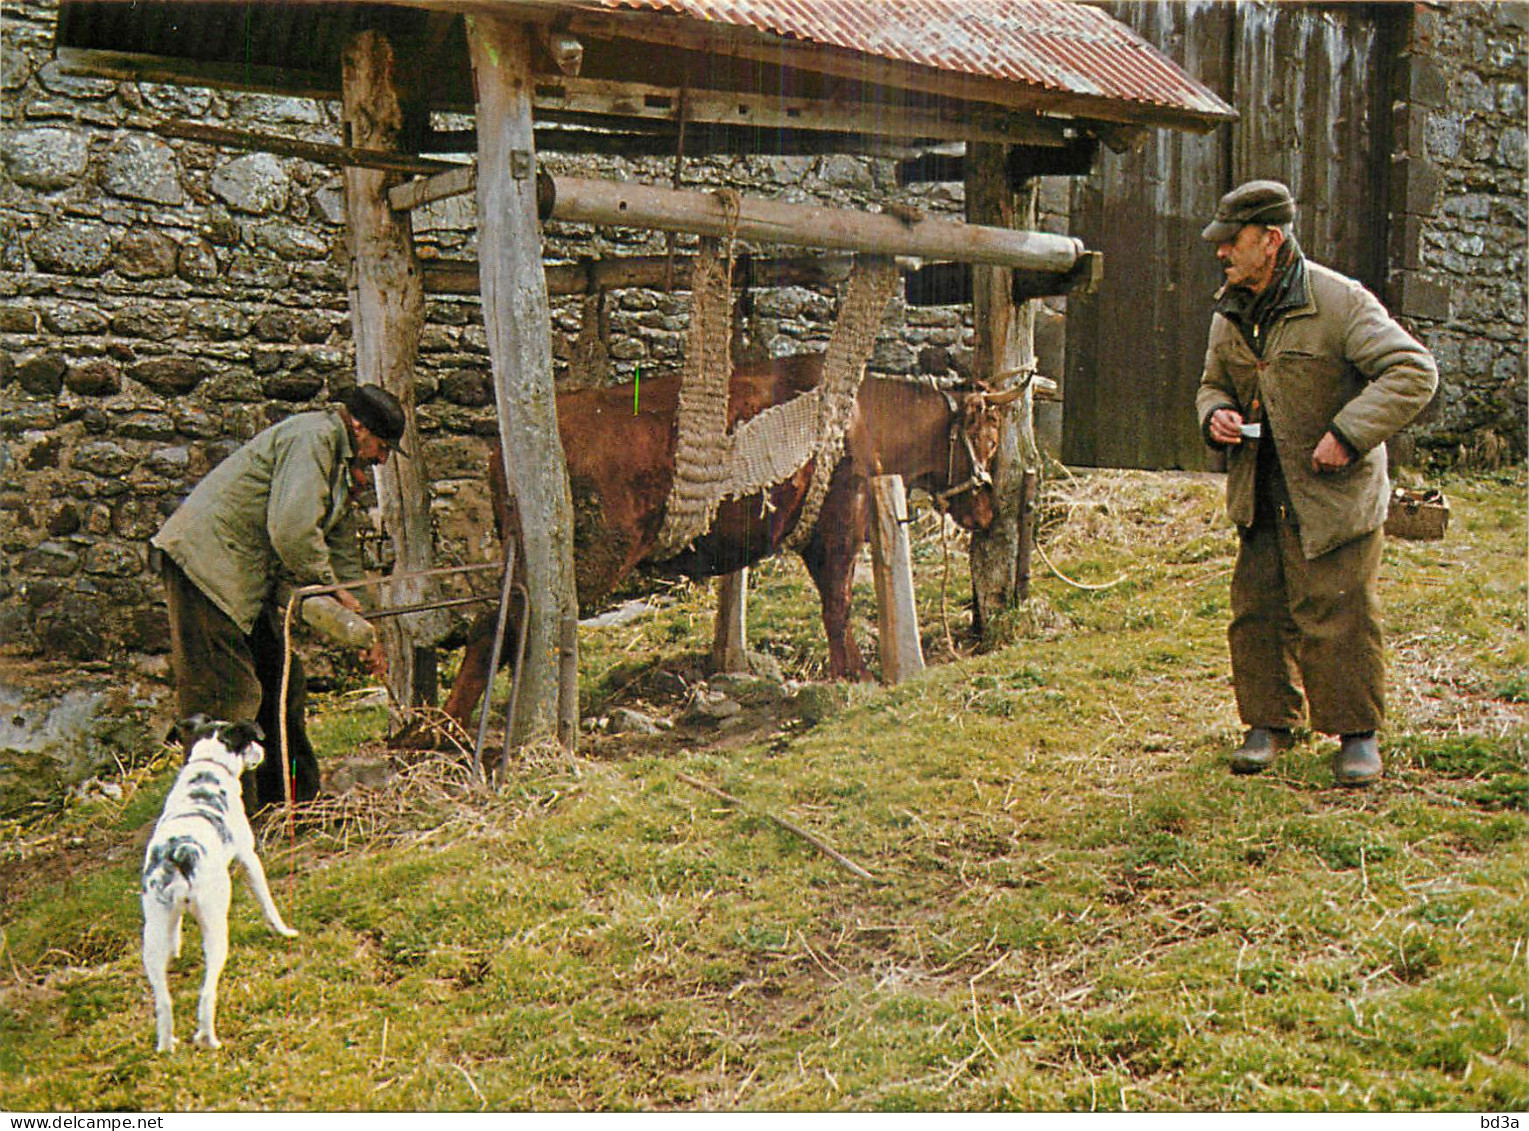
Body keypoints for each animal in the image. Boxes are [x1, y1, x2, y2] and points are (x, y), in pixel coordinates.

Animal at [143, 715, 298, 1051]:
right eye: (251, 741)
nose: (263, 752)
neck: (208, 768)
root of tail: (177, 853)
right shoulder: (249, 857)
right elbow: (268, 904)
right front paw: (284, 930)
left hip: (152, 939)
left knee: (163, 1002)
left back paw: (167, 1044)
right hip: (215, 929)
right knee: (206, 993)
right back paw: (209, 1039)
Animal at [440, 351, 1015, 724]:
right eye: (987, 439)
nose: (990, 510)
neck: (863, 416)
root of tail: (502, 450)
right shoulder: (837, 522)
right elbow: (838, 604)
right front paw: (854, 674)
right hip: (586, 556)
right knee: (499, 625)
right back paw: (443, 731)